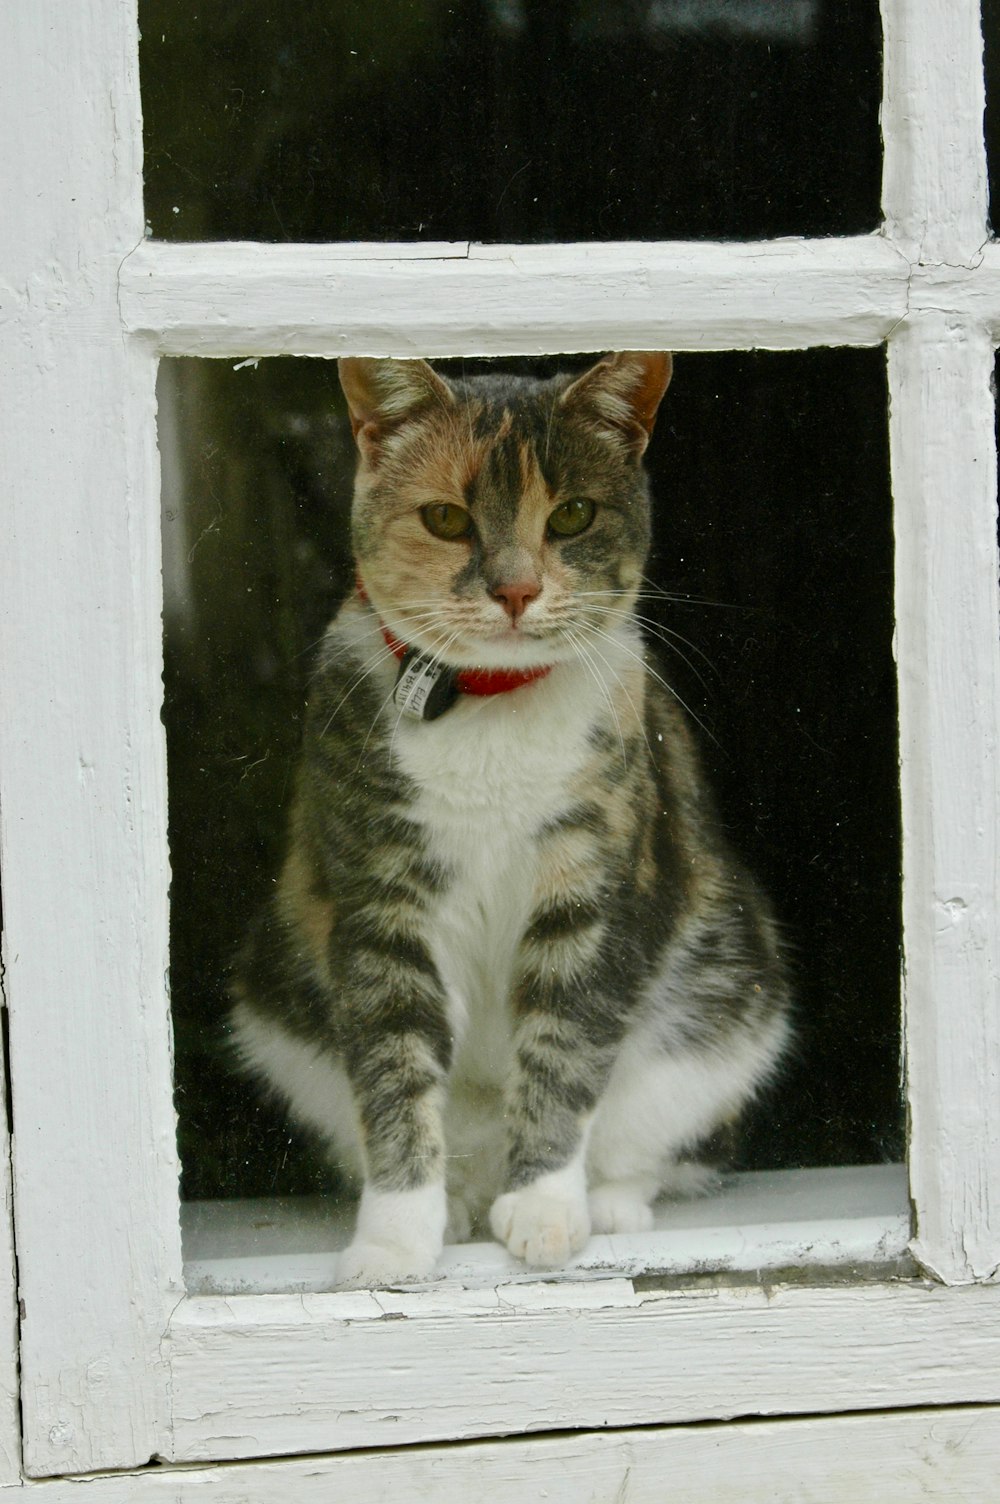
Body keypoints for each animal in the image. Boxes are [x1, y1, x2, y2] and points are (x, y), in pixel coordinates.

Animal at [230, 348, 793, 1281]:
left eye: (572, 514)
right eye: (445, 518)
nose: (518, 589)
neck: (490, 710)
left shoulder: (594, 889)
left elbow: (565, 1046)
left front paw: (545, 1212)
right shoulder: (381, 903)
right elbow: (393, 1063)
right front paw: (393, 1241)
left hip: (727, 1004)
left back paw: (605, 1204)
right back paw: (460, 1204)